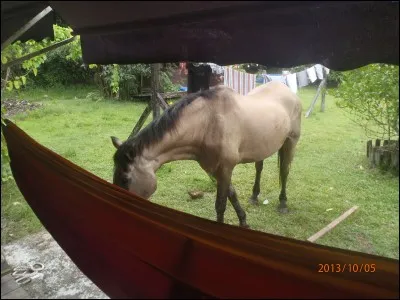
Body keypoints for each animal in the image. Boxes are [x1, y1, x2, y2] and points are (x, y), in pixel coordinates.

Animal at [111, 81, 302, 229]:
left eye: (125, 179)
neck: (207, 123)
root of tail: (287, 90)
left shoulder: (225, 168)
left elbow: (221, 205)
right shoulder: (215, 170)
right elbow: (232, 195)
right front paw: (243, 221)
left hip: (290, 142)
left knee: (285, 171)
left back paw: (283, 203)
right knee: (259, 167)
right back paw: (255, 196)